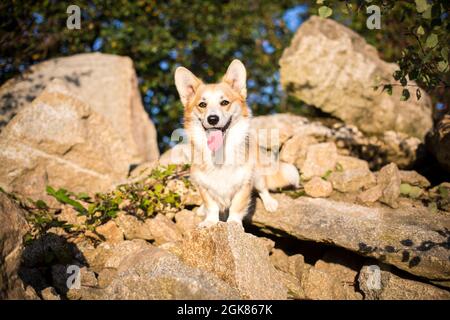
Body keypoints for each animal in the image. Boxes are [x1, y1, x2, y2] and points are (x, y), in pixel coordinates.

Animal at [175, 58, 298, 226]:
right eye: (202, 105)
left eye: (224, 102)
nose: (212, 119)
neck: (220, 154)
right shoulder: (203, 186)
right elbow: (211, 206)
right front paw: (210, 221)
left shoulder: (244, 184)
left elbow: (236, 207)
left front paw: (233, 223)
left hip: (258, 174)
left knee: (263, 188)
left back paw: (270, 203)